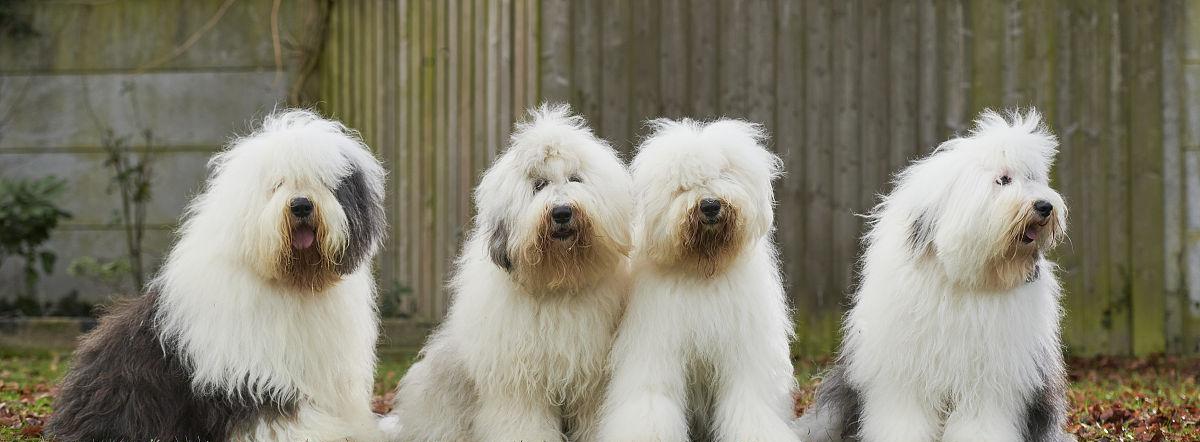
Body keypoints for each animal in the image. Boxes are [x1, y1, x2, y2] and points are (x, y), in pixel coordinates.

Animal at [45, 110, 384, 442]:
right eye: (277, 184)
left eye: (324, 183)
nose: (301, 205)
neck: (294, 281)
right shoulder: (254, 373)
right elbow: (279, 414)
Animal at [384, 104, 633, 442]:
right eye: (538, 185)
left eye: (575, 178)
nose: (562, 212)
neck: (557, 283)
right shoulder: (518, 381)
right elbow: (523, 422)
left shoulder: (592, 383)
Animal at [597, 120, 801, 442]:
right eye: (683, 186)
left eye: (723, 175)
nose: (710, 206)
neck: (703, 271)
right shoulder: (657, 347)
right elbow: (653, 399)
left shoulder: (743, 353)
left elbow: (748, 401)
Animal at [792, 108, 1075, 442]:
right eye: (1003, 180)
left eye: (1032, 179)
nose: (1044, 206)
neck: (963, 279)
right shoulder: (904, 372)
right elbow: (903, 415)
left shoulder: (990, 378)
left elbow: (981, 420)